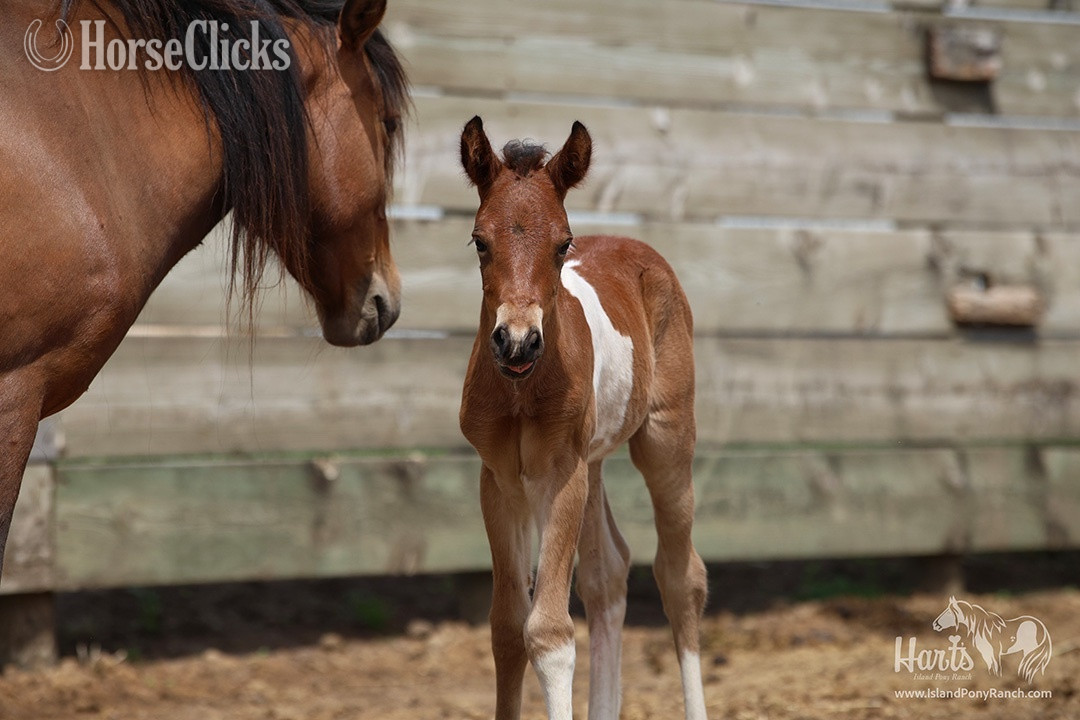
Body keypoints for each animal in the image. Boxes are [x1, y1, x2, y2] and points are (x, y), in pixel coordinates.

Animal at [458, 116, 709, 720]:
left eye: (562, 243)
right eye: (479, 241)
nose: (517, 342)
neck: (521, 390)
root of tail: (640, 247)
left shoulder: (560, 474)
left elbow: (548, 633)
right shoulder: (498, 480)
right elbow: (507, 627)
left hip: (664, 441)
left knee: (680, 575)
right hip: (592, 464)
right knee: (606, 574)